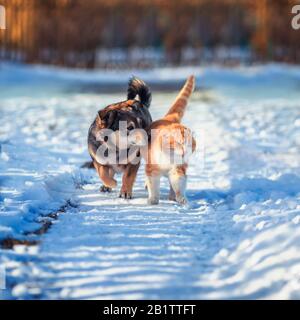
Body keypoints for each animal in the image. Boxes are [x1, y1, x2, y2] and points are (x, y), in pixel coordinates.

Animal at [142, 75, 196, 205]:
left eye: (188, 145)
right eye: (178, 143)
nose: (184, 152)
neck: (168, 158)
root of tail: (170, 119)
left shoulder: (178, 169)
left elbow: (178, 184)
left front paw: (181, 198)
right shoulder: (152, 169)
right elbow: (153, 186)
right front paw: (153, 199)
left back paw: (172, 196)